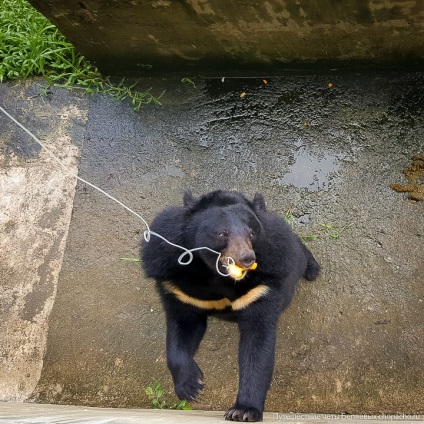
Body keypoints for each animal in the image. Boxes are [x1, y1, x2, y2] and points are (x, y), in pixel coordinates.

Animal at [141, 191, 320, 420]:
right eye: (222, 234)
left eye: (251, 233)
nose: (247, 258)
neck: (217, 276)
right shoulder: (177, 285)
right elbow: (181, 330)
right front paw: (191, 386)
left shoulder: (261, 288)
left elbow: (257, 348)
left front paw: (243, 411)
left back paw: (313, 269)